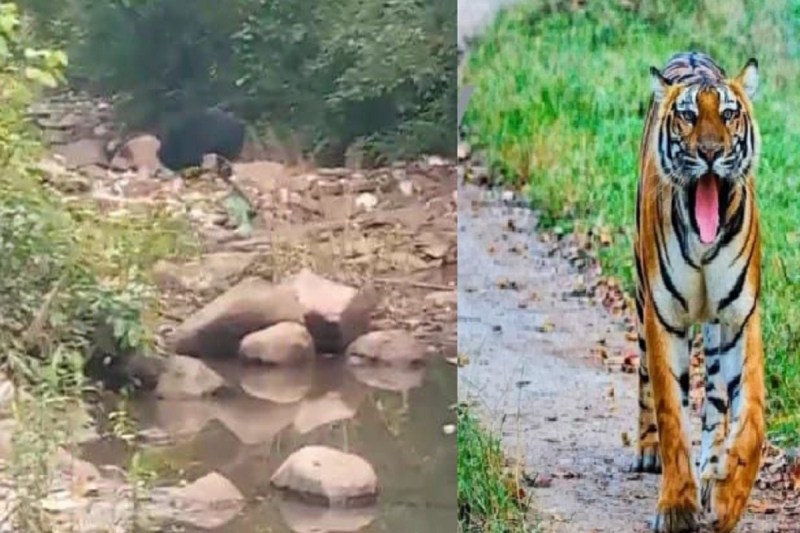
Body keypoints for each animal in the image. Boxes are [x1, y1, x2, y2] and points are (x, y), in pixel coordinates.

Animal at [632, 51, 764, 533]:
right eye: (688, 116)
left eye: (728, 114)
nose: (710, 152)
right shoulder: (664, 318)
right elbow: (672, 413)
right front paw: (676, 506)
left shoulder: (741, 317)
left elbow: (751, 416)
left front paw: (727, 498)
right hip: (641, 297)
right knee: (645, 378)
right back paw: (647, 451)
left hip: (713, 331)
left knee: (713, 403)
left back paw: (710, 474)